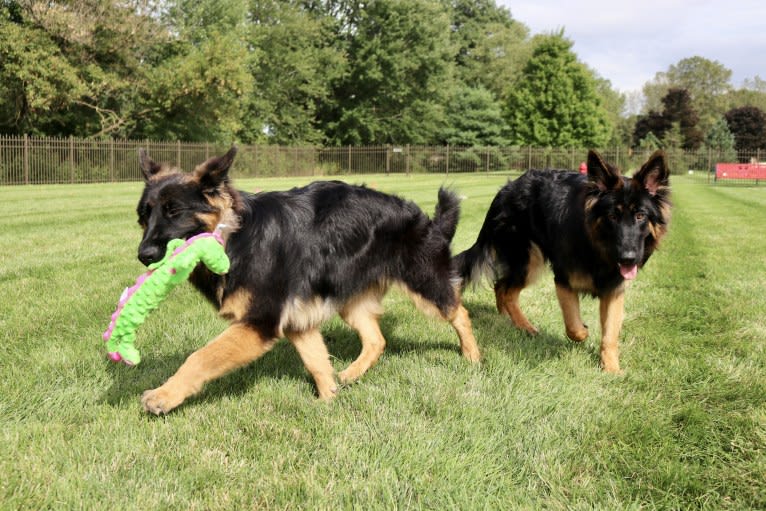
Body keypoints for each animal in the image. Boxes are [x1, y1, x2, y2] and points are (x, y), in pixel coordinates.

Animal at [133, 146, 480, 414]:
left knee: (459, 312)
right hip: (349, 300)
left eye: (174, 212)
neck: (235, 237)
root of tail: (427, 218)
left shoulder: (260, 323)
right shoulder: (298, 322)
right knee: (376, 339)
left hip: (425, 284)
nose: (144, 255)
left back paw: (473, 357)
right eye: (143, 216)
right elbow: (317, 362)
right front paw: (328, 401)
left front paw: (163, 395)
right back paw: (351, 374)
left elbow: (200, 357)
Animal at [456, 150, 672, 374]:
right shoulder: (564, 281)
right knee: (507, 292)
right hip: (529, 262)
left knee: (501, 286)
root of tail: (505, 190)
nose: (628, 258)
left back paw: (507, 319)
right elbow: (574, 327)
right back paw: (525, 326)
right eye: (612, 216)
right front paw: (584, 332)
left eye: (640, 216)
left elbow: (610, 335)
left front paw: (611, 368)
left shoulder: (614, 291)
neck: (595, 247)